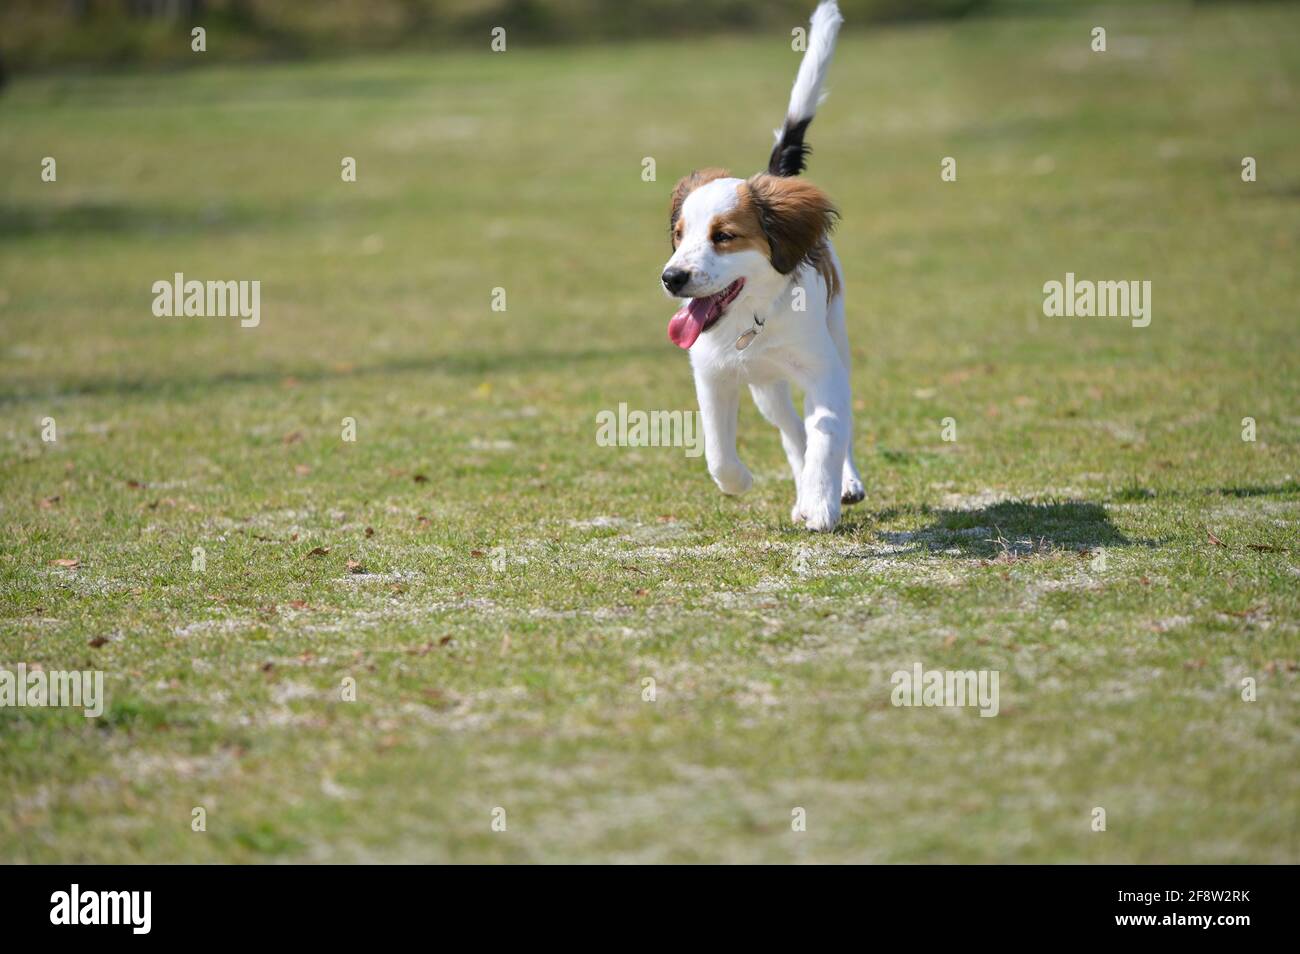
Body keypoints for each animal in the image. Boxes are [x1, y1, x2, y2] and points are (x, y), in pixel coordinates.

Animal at [660, 0, 863, 535]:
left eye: (724, 236)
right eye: (679, 235)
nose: (671, 278)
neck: (753, 321)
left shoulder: (822, 371)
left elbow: (828, 433)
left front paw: (822, 500)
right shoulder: (711, 374)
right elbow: (718, 453)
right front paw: (741, 483)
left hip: (837, 340)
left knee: (828, 426)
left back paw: (844, 484)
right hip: (766, 388)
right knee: (791, 429)